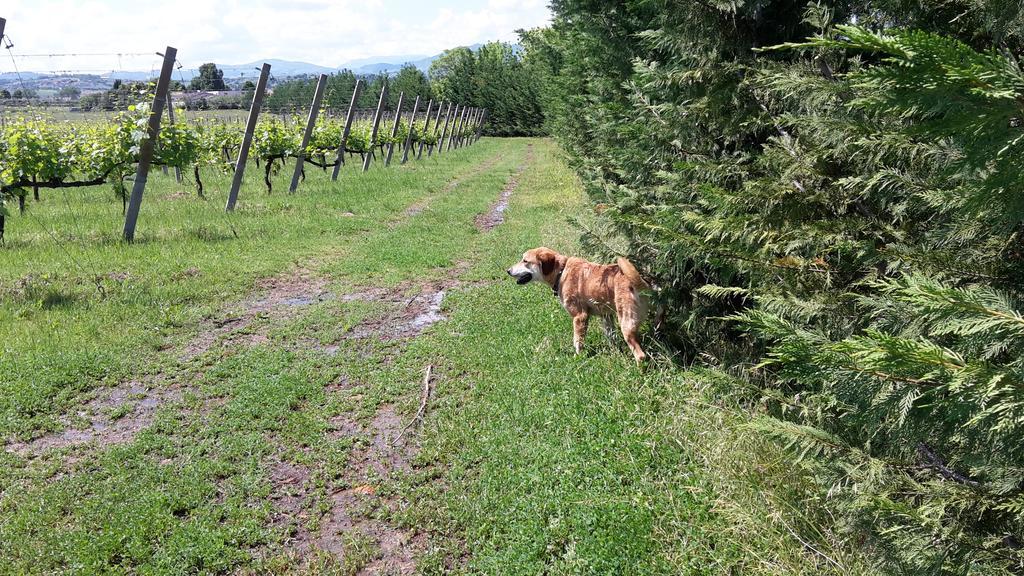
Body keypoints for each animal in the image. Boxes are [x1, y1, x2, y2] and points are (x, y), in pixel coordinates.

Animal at [509, 247, 651, 362]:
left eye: (525, 261)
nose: (508, 270)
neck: (561, 272)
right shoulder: (606, 316)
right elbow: (611, 337)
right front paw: (614, 351)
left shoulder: (580, 317)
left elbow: (577, 342)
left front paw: (578, 358)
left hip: (626, 323)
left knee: (640, 355)